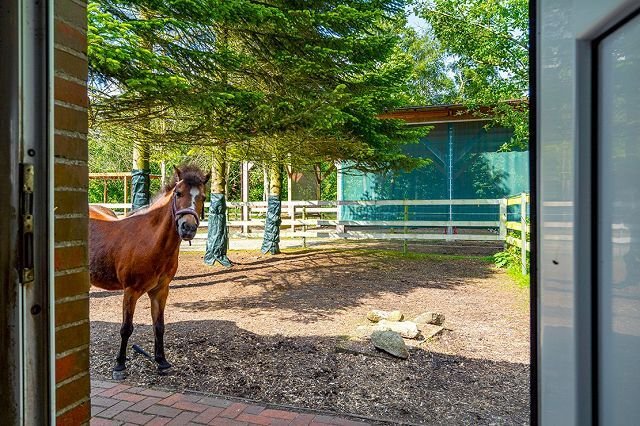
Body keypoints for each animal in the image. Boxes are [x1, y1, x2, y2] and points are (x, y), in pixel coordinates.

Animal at [89, 165, 210, 374]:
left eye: (202, 196)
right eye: (178, 193)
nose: (187, 227)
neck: (151, 242)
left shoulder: (160, 291)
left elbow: (159, 326)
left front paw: (161, 360)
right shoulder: (130, 291)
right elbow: (126, 328)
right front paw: (120, 364)